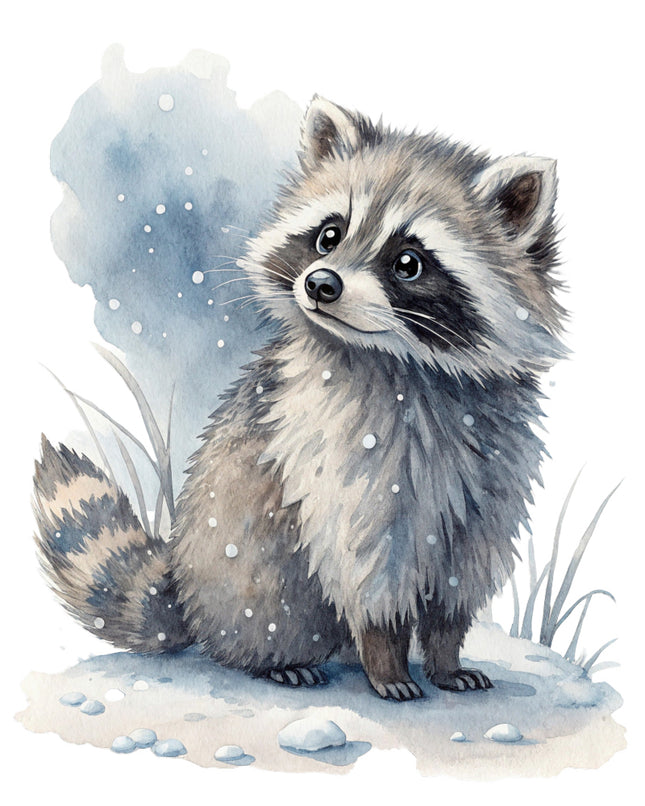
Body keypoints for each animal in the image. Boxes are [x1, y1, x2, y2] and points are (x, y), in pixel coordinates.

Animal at [34, 97, 565, 700]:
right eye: (330, 234)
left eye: (409, 261)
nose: (321, 284)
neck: (408, 361)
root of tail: (187, 594)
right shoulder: (355, 466)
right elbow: (368, 571)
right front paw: (386, 659)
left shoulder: (493, 478)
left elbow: (460, 577)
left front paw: (447, 656)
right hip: (247, 574)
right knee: (272, 608)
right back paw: (277, 660)